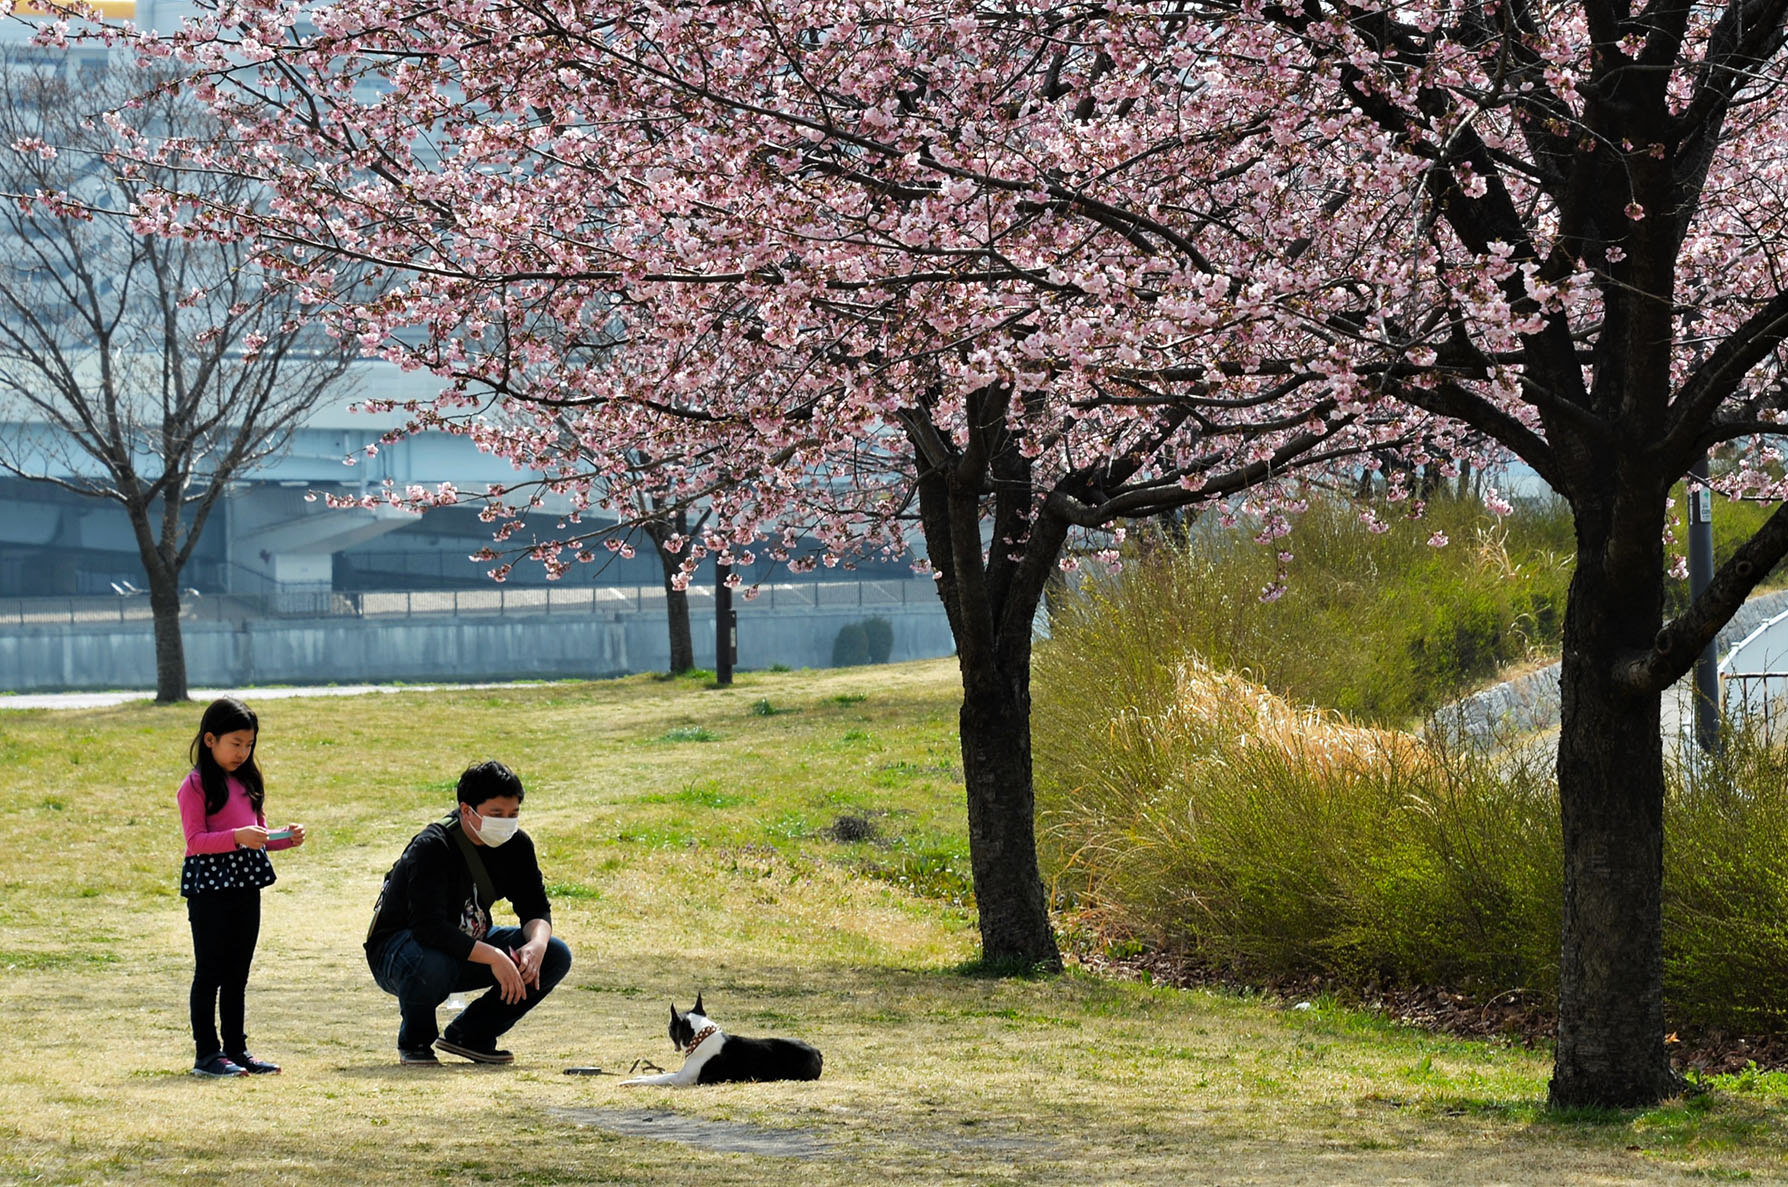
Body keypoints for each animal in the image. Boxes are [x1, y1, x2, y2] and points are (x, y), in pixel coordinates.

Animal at [622, 993, 822, 1086]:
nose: (667, 1029)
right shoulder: (681, 1074)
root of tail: (816, 1051)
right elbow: (661, 1074)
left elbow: (659, 1079)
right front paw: (640, 1074)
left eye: (670, 1027)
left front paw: (631, 1082)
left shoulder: (683, 1079)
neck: (700, 1038)